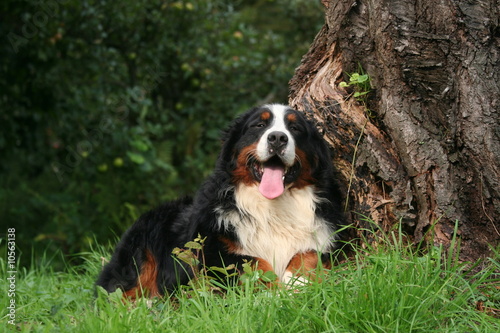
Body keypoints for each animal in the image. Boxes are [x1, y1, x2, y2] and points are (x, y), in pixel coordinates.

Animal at [96, 103, 346, 296]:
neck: (273, 207)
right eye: (259, 125)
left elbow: (309, 253)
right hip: (139, 250)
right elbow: (253, 262)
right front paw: (276, 290)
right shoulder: (211, 249)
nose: (277, 138)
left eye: (295, 128)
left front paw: (298, 282)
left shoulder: (327, 238)